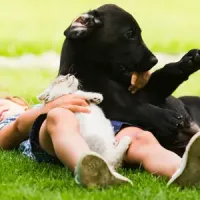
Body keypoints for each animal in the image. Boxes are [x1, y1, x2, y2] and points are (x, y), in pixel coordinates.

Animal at [58, 3, 200, 155]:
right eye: (130, 34)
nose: (154, 60)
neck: (104, 75)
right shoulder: (111, 108)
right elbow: (135, 109)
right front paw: (165, 118)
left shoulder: (150, 94)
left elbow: (165, 75)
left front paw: (187, 62)